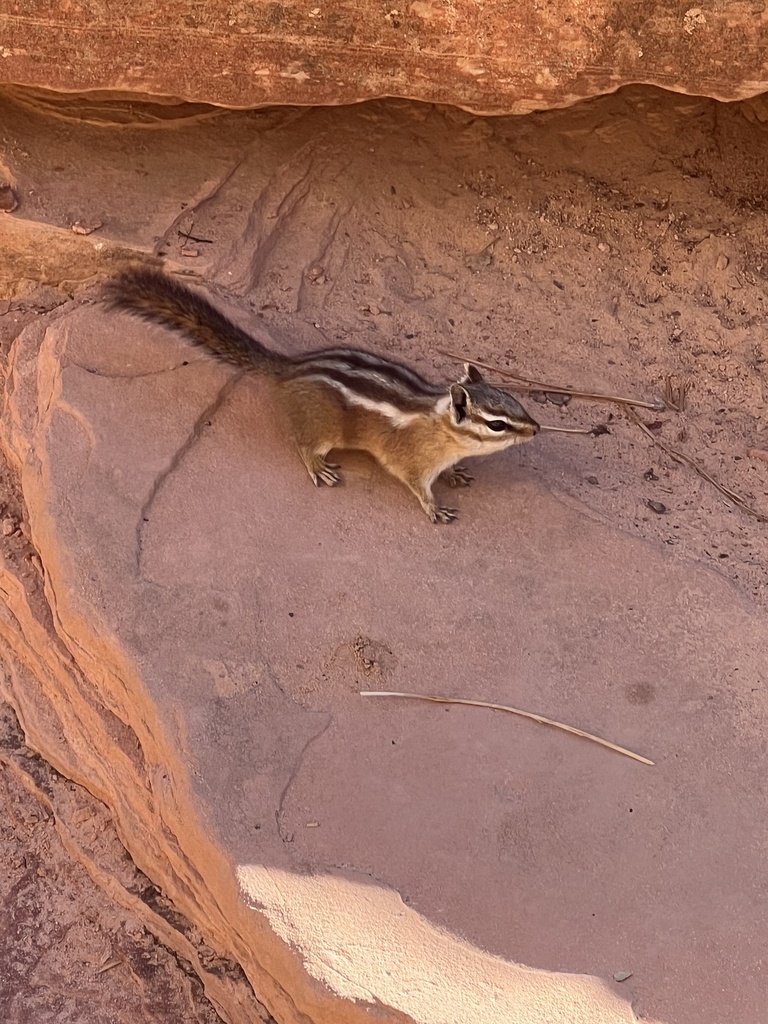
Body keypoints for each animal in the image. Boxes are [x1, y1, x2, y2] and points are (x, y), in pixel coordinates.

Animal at [103, 268, 539, 523]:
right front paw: (433, 507)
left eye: (517, 403)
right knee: (302, 444)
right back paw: (318, 467)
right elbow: (416, 484)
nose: (536, 430)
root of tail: (289, 368)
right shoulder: (410, 462)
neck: (441, 428)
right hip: (325, 430)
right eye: (498, 425)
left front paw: (455, 473)